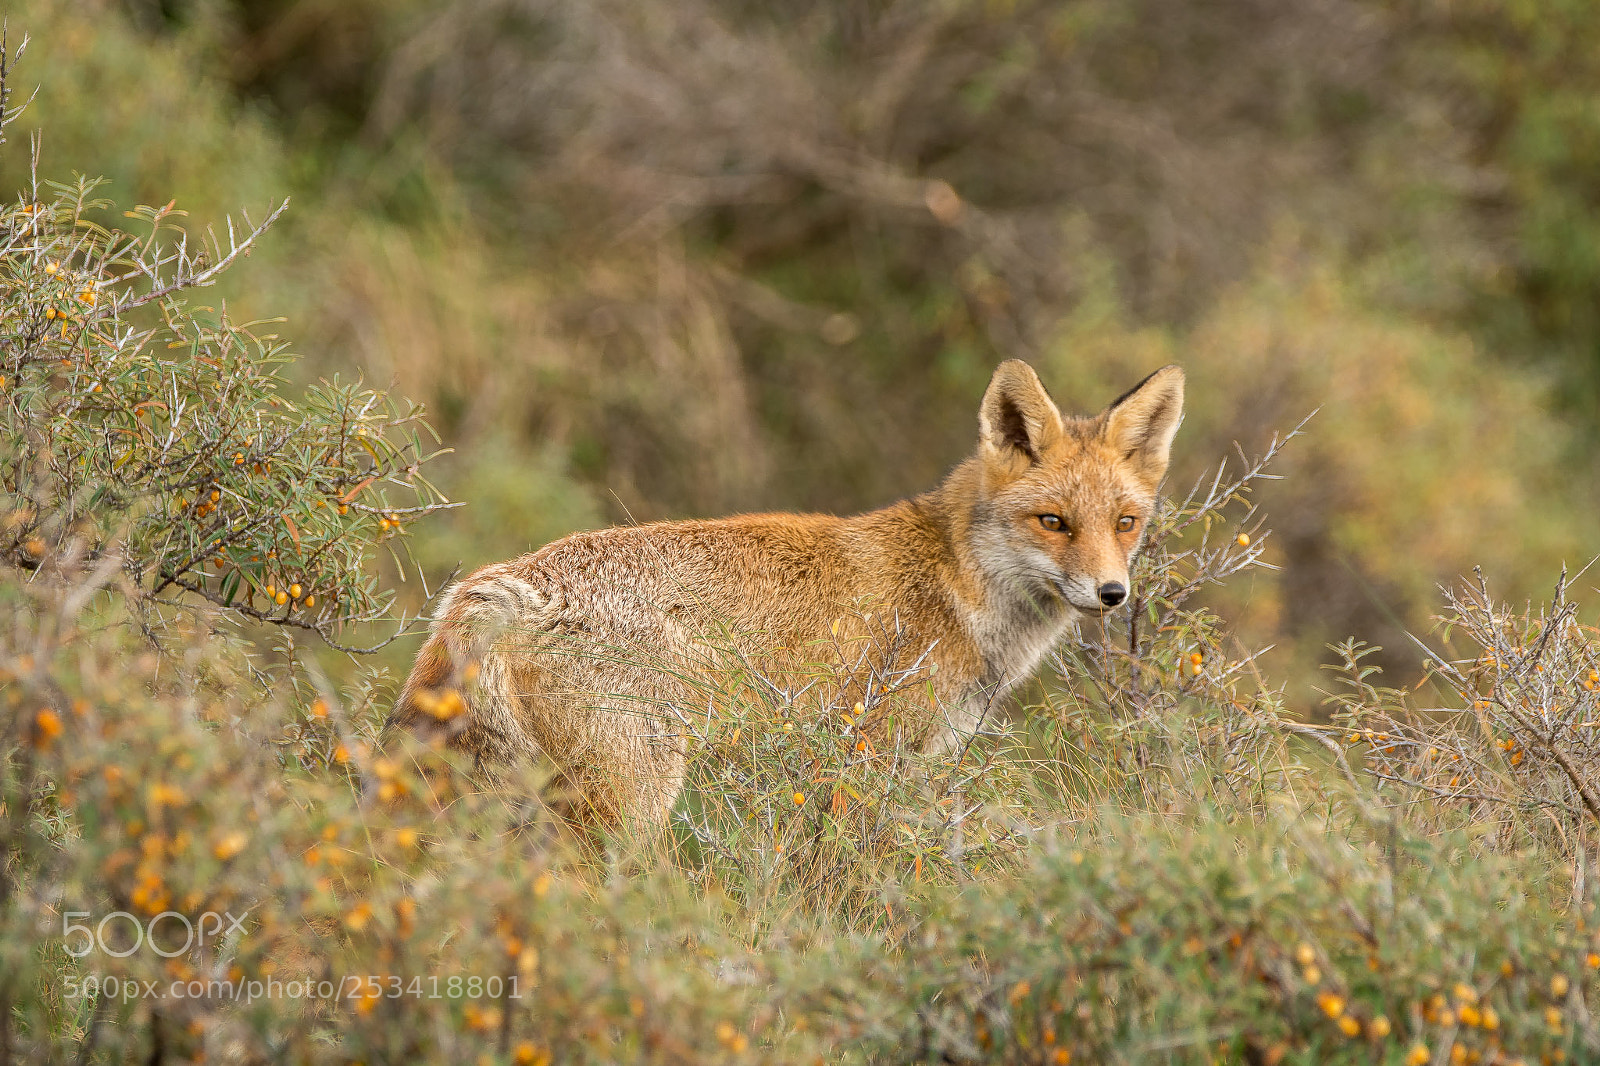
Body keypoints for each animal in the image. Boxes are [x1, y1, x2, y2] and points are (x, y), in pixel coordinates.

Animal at [389, 360, 1183, 832]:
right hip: (632, 801)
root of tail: (495, 585)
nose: (1112, 594)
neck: (954, 585)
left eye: (1125, 523)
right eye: (1053, 522)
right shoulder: (866, 755)